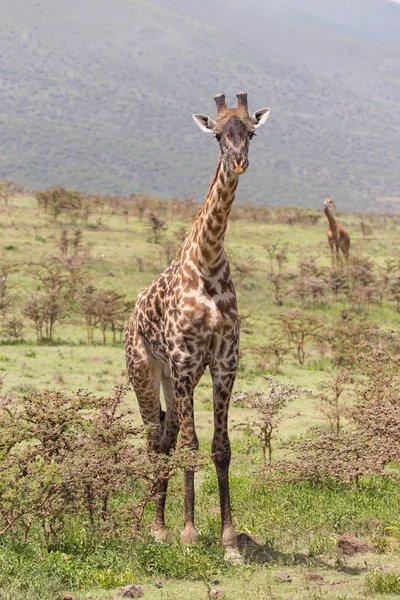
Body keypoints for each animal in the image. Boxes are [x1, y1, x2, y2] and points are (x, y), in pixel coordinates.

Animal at [125, 91, 268, 556]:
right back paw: (152, 528)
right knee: (154, 441)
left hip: (171, 378)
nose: (239, 161)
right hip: (145, 370)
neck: (207, 259)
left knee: (165, 437)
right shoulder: (186, 361)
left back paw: (159, 524)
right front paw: (188, 534)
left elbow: (220, 449)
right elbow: (191, 445)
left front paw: (229, 540)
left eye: (252, 132)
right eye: (218, 134)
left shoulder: (224, 363)